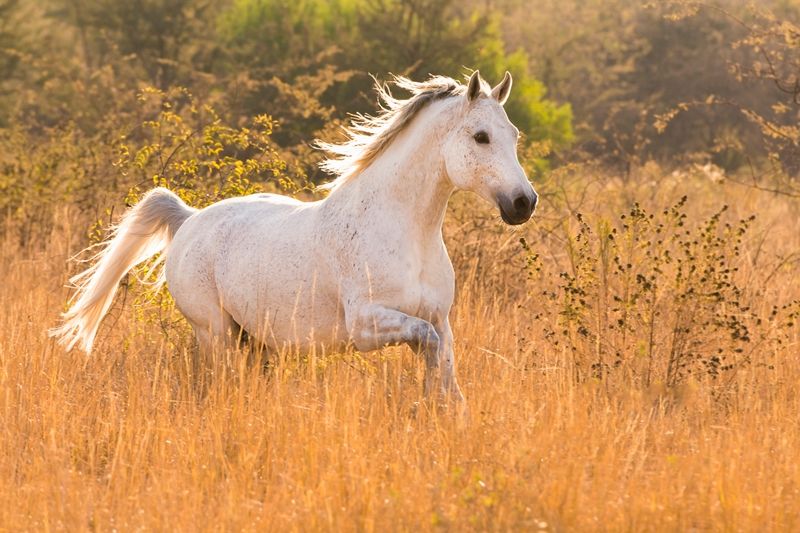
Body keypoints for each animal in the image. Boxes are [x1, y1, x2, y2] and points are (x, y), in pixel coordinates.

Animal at [50, 70, 536, 402]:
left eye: (513, 134)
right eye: (480, 136)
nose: (523, 203)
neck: (404, 234)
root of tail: (188, 219)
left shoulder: (440, 319)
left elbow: (446, 365)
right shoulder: (367, 325)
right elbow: (431, 349)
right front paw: (427, 406)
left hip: (255, 340)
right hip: (216, 333)